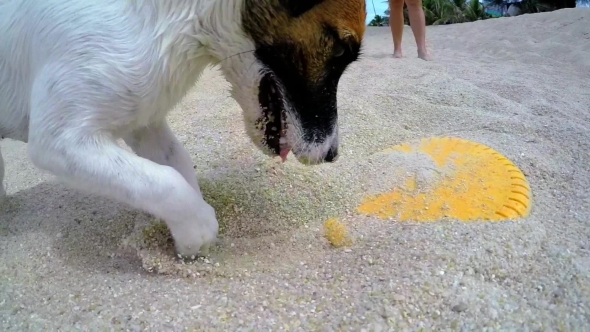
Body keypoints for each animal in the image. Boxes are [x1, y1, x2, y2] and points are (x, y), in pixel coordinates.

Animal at [0, 0, 368, 258]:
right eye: (340, 49)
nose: (333, 154)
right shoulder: (57, 140)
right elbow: (167, 181)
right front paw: (197, 232)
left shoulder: (145, 123)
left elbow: (176, 165)